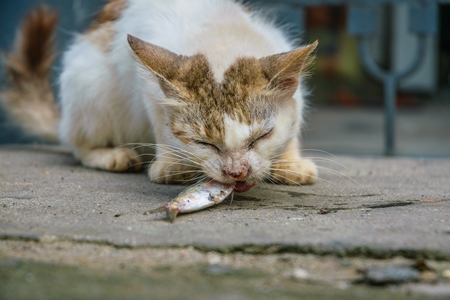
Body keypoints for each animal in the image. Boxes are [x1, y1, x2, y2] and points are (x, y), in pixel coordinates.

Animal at [2, 0, 320, 192]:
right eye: (204, 143)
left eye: (261, 137)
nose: (237, 173)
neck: (220, 39)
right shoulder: (147, 88)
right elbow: (160, 124)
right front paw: (171, 165)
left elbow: (294, 124)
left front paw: (290, 162)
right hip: (88, 85)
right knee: (77, 143)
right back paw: (111, 154)